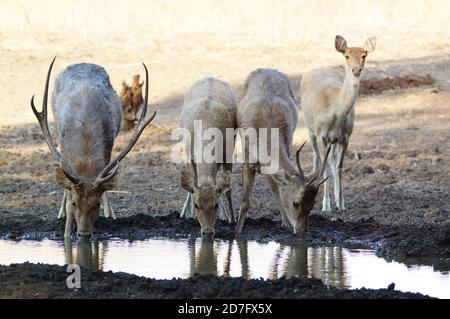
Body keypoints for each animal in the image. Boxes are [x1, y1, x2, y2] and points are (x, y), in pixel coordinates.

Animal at [30, 57, 156, 239]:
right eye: (75, 203)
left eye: (96, 204)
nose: (83, 233)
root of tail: (83, 62)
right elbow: (68, 191)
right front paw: (66, 233)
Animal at [178, 77, 237, 238]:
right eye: (197, 205)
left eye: (215, 204)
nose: (207, 231)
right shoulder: (190, 155)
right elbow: (193, 184)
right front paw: (191, 215)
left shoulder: (228, 153)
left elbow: (227, 188)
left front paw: (232, 219)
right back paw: (184, 213)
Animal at [236, 69, 330, 235]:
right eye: (296, 203)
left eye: (312, 204)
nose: (302, 230)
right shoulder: (247, 160)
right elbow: (245, 202)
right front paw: (237, 231)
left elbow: (278, 191)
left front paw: (285, 224)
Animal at [300, 35, 378, 212]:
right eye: (347, 56)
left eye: (364, 55)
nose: (356, 70)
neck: (334, 113)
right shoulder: (321, 135)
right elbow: (324, 167)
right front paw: (325, 206)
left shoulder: (346, 136)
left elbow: (339, 167)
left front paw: (341, 203)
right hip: (310, 130)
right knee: (316, 157)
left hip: (333, 140)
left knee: (332, 159)